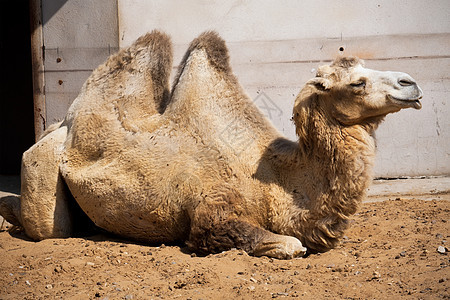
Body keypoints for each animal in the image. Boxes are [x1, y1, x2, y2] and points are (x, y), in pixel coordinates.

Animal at [0, 31, 422, 258]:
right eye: (357, 82)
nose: (411, 83)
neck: (276, 180)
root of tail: (60, 123)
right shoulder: (211, 211)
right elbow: (288, 243)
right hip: (42, 167)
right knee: (47, 227)